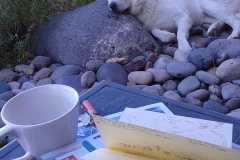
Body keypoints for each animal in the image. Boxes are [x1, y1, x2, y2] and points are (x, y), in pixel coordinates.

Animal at [107, 0, 240, 52]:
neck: (144, 4)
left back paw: (233, 35)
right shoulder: (151, 26)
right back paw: (214, 28)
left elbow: (180, 34)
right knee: (221, 20)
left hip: (209, 4)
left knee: (235, 21)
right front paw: (169, 36)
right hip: (204, 15)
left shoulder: (183, 18)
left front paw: (184, 48)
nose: (111, 5)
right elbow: (155, 32)